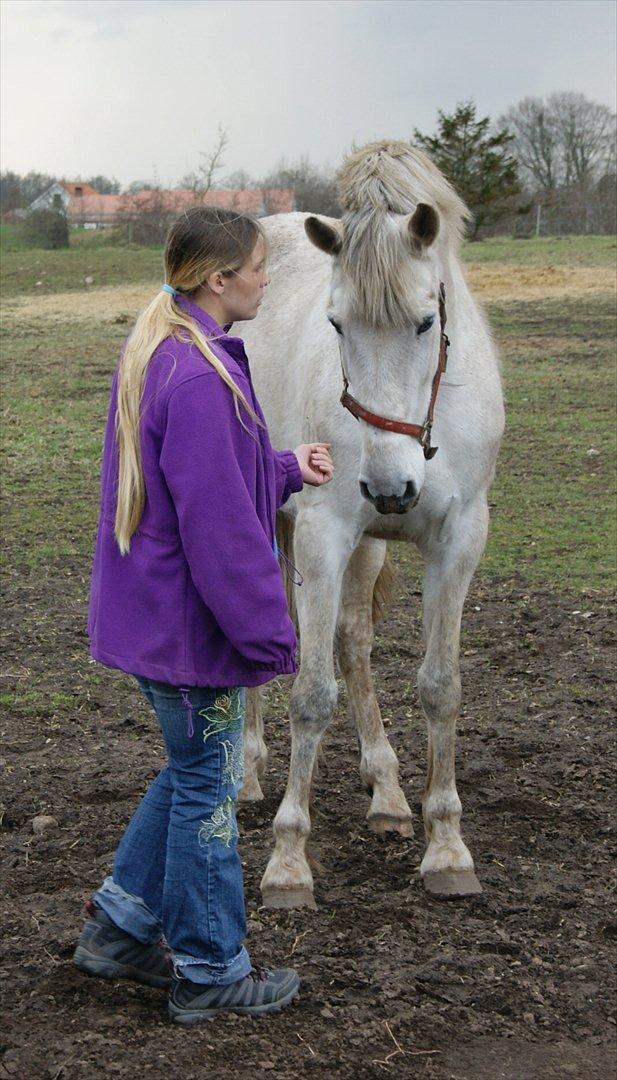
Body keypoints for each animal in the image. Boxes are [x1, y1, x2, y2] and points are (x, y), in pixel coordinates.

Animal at [236, 141, 507, 902]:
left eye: (425, 322)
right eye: (336, 325)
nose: (390, 488)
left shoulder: (457, 539)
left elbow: (439, 687)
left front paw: (446, 845)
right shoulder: (325, 531)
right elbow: (309, 693)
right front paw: (288, 860)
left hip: (369, 548)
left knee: (353, 639)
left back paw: (386, 792)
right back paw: (245, 772)